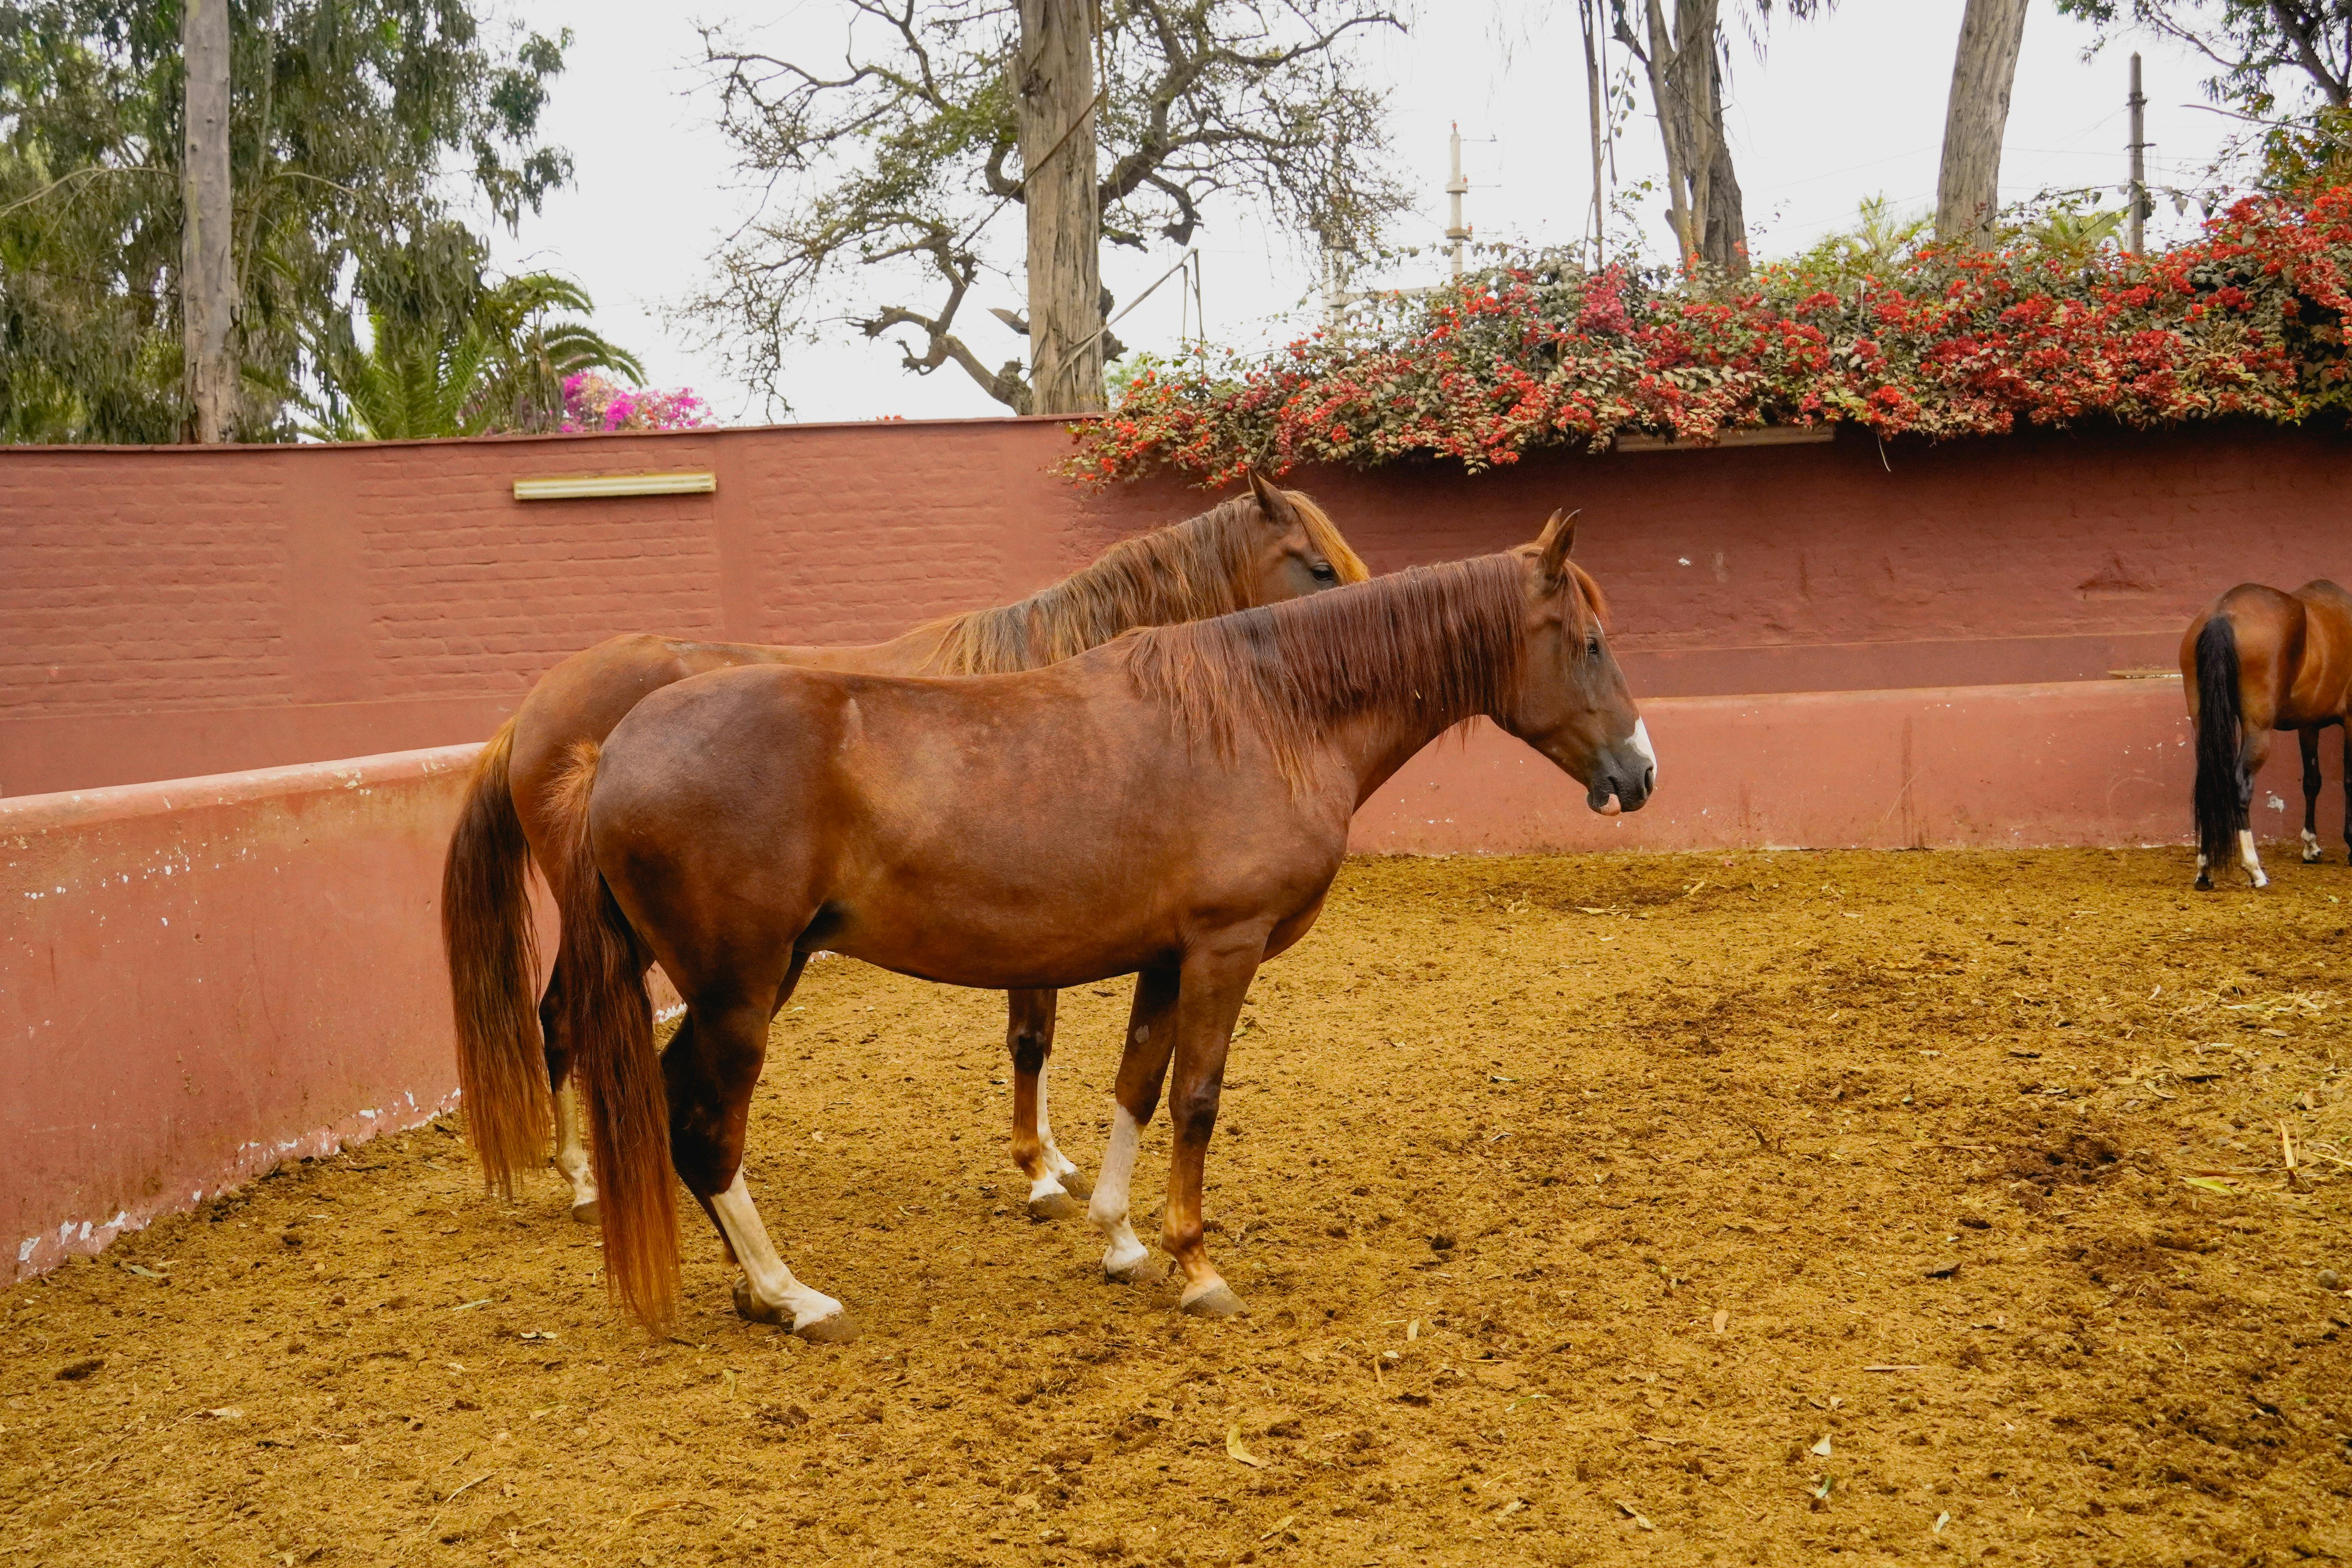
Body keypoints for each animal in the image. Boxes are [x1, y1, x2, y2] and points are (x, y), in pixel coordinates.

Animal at [442, 474, 1368, 1227]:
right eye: (1316, 566)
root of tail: (536, 711)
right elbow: (1030, 1035)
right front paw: (1038, 1172)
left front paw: (1053, 1157)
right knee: (564, 1021)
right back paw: (583, 1179)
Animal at [527, 508, 1654, 1337]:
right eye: (1591, 642)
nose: (1639, 774)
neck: (1265, 711)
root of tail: (610, 751)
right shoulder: (1224, 948)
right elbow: (1197, 1099)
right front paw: (1195, 1263)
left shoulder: (1166, 956)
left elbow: (1137, 1087)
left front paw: (1119, 1238)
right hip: (741, 988)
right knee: (706, 1125)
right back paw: (791, 1293)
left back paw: (749, 1285)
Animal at [2183, 580, 2352, 889]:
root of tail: (2223, 613)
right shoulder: (2351, 720)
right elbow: (2348, 781)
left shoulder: (2308, 725)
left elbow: (2312, 781)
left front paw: (2311, 845)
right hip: (2257, 731)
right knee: (2240, 784)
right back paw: (2254, 869)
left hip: (2203, 725)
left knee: (2209, 781)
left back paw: (2205, 869)